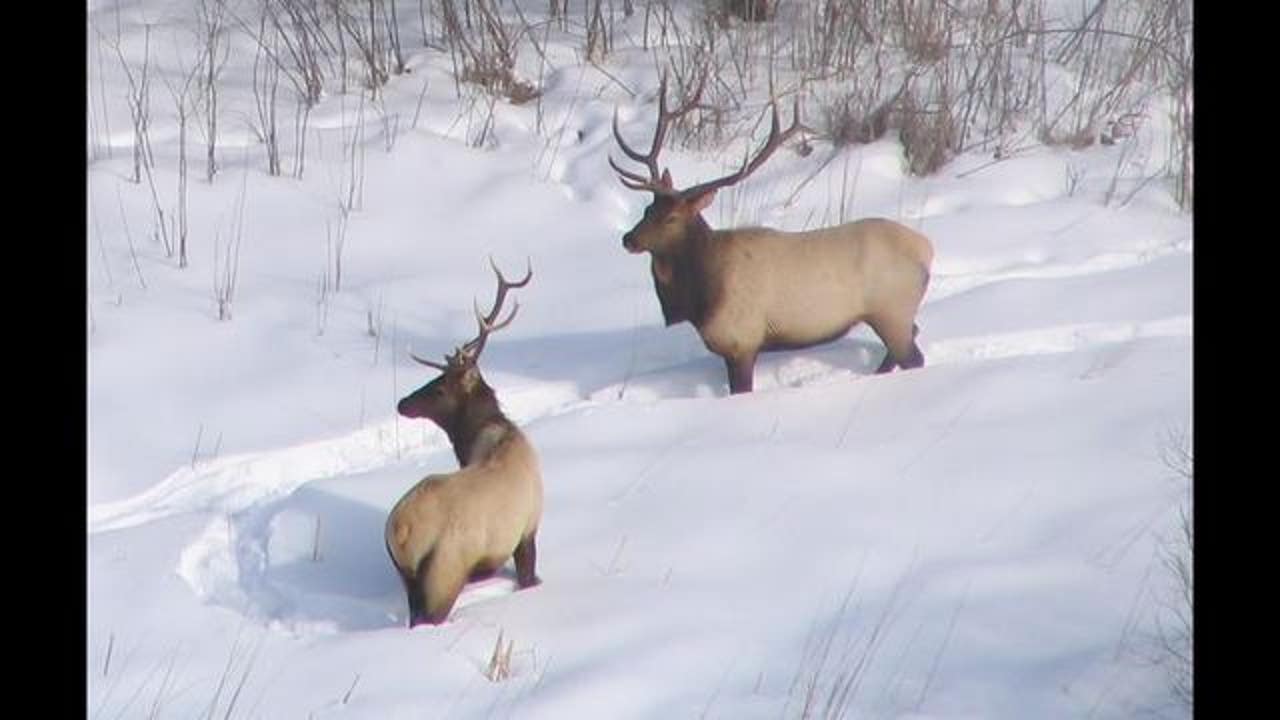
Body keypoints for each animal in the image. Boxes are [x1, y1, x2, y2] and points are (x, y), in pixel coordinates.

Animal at [386, 259, 543, 627]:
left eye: (440, 386)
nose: (402, 403)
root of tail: (399, 531)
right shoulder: (528, 529)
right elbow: (529, 578)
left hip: (410, 581)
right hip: (445, 572)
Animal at [610, 77, 935, 394]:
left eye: (672, 218)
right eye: (648, 209)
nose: (628, 239)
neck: (700, 297)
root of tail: (926, 249)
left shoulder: (741, 341)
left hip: (891, 311)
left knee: (913, 357)